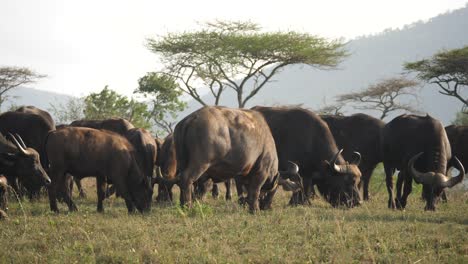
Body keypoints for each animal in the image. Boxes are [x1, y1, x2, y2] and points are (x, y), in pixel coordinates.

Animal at [172, 106, 300, 211]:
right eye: (274, 189)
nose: (266, 207)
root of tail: (191, 118)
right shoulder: (261, 172)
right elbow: (255, 191)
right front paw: (255, 210)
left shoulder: (240, 175)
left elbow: (243, 192)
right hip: (201, 163)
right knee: (187, 178)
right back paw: (188, 206)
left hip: (182, 162)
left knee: (181, 180)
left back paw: (182, 204)